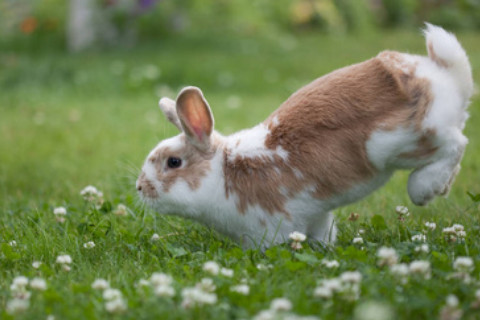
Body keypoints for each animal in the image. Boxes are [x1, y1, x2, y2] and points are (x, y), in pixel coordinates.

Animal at [137, 24, 474, 250]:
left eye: (173, 162)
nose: (140, 188)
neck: (224, 172)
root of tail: (445, 76)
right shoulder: (316, 216)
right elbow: (323, 233)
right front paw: (325, 249)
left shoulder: (271, 225)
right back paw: (441, 188)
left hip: (403, 143)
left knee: (456, 144)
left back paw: (424, 189)